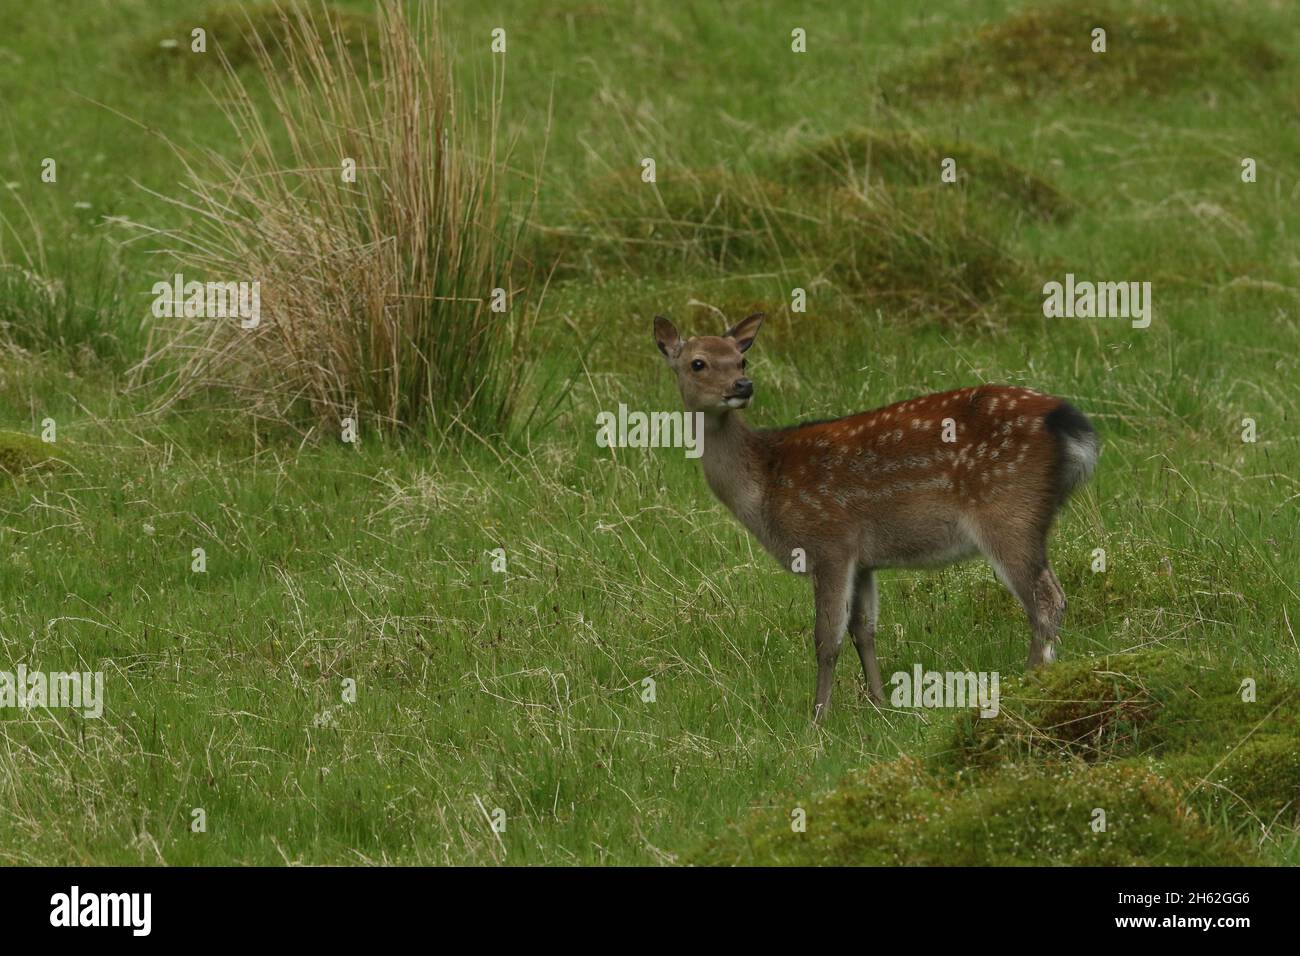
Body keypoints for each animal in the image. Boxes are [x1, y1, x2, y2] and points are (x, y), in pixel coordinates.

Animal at [660, 314, 1097, 723]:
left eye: (742, 359)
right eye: (698, 363)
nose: (742, 386)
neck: (764, 485)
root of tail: (1070, 424)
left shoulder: (829, 542)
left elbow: (826, 638)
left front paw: (818, 716)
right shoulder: (863, 558)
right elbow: (863, 629)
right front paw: (880, 703)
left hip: (1007, 511)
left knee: (1047, 599)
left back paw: (1027, 682)